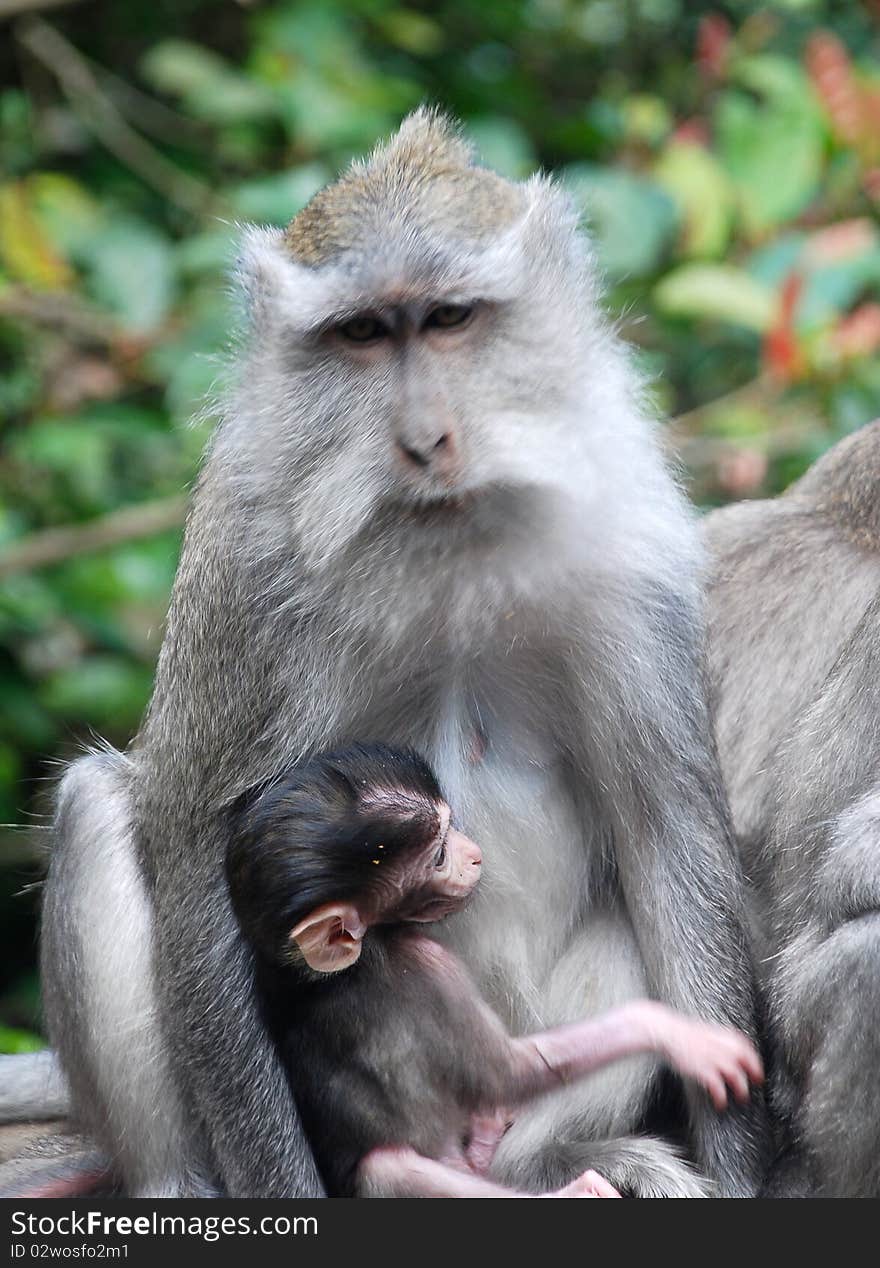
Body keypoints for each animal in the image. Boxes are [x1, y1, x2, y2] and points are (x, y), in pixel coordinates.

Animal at [225, 740, 765, 1196]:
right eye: (440, 854)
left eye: (451, 827)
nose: (475, 855)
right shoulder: (428, 965)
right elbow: (512, 1073)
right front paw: (674, 1033)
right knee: (390, 1167)